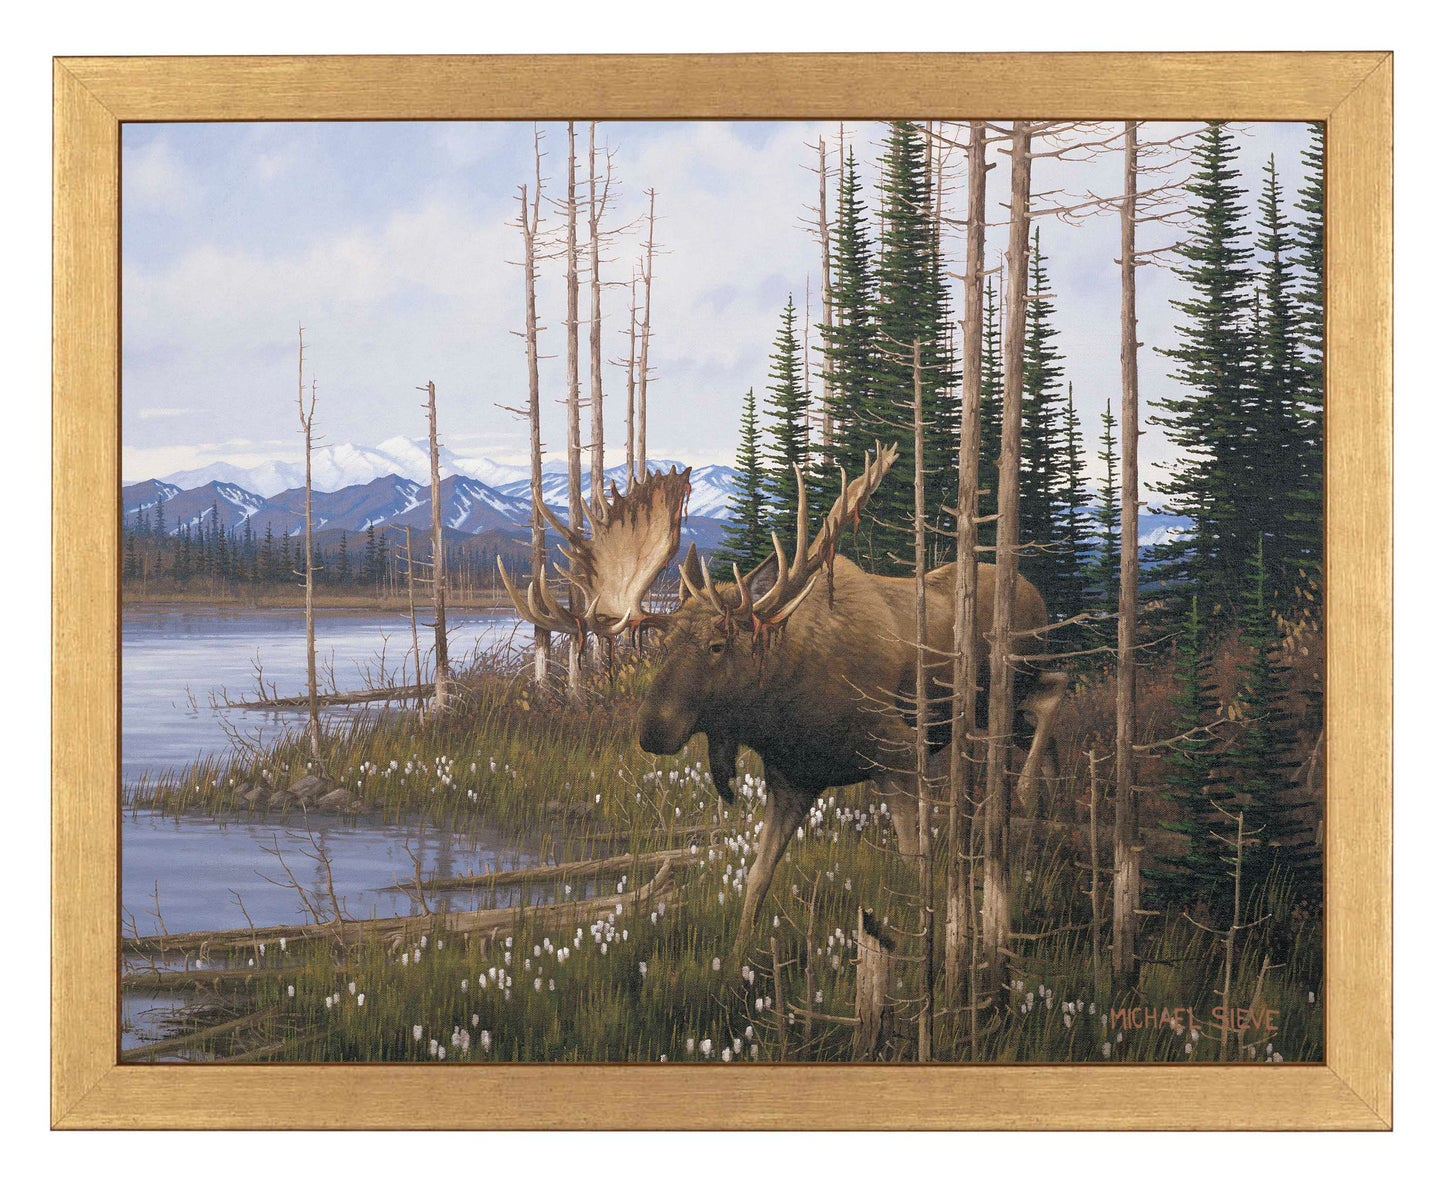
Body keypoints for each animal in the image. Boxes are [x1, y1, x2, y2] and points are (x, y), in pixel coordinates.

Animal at [499, 446, 1066, 961]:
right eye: (663, 645)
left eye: (717, 645)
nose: (651, 730)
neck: (786, 713)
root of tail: (1037, 591)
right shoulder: (791, 780)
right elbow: (757, 875)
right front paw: (737, 956)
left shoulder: (900, 752)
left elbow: (915, 862)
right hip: (994, 709)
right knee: (1047, 718)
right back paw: (1044, 814)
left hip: (1010, 681)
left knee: (1055, 692)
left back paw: (1028, 795)